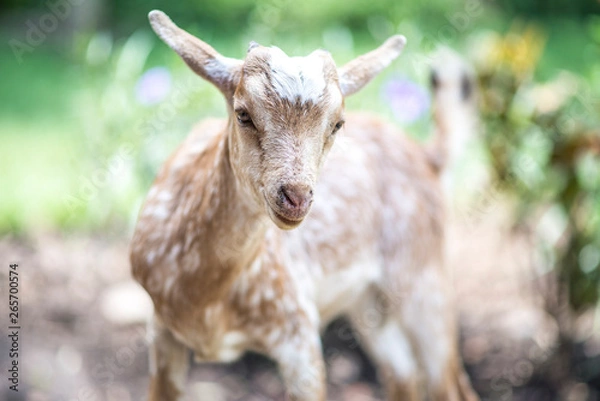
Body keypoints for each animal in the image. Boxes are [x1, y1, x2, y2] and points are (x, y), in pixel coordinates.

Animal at [130, 9, 478, 400]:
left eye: (338, 123)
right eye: (243, 113)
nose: (296, 196)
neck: (205, 298)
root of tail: (427, 156)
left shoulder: (299, 329)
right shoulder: (161, 329)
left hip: (423, 276)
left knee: (450, 383)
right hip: (367, 301)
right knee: (403, 375)